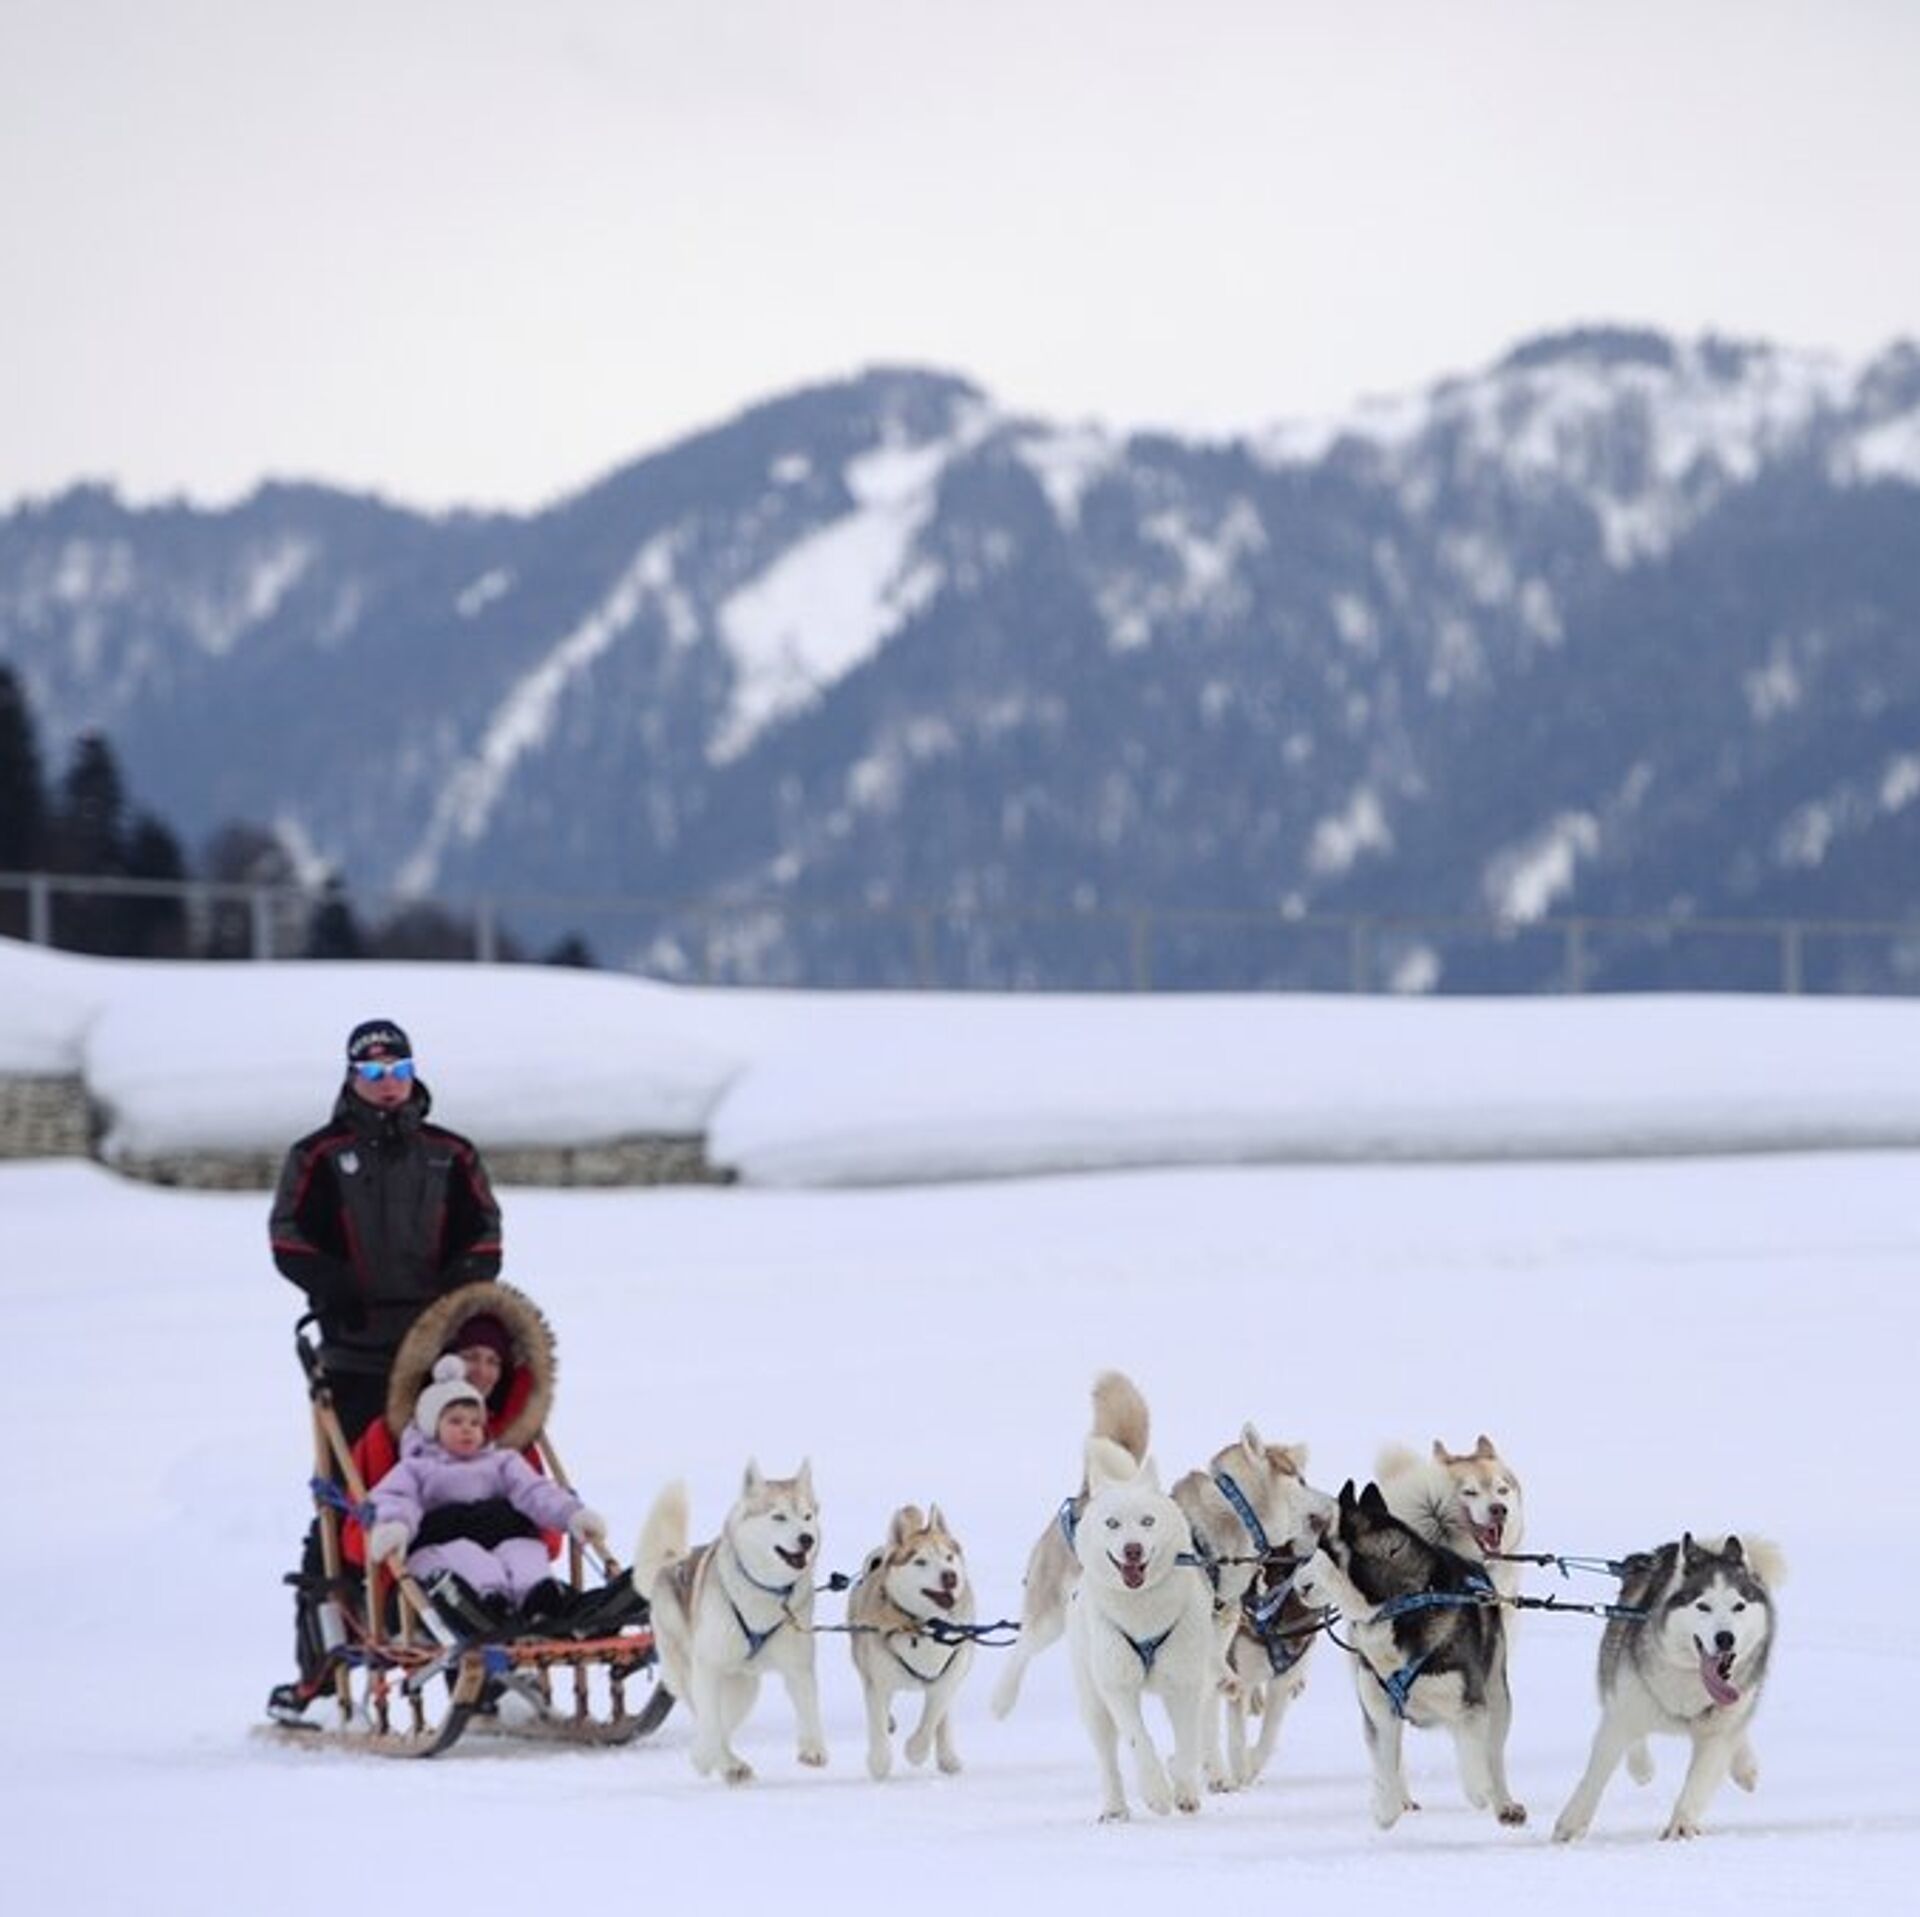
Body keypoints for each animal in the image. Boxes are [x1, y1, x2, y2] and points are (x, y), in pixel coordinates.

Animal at [634, 1459, 827, 1783]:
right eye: (778, 1516)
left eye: (807, 1516)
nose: (806, 1538)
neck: (765, 1592)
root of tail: (670, 1565)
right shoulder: (708, 1667)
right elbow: (710, 1726)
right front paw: (706, 1759)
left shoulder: (798, 1665)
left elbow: (810, 1706)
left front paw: (813, 1748)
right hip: (689, 1673)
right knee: (708, 1722)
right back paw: (722, 1761)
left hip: (743, 1689)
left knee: (724, 1723)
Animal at [847, 1502, 976, 1780]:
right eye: (920, 1561)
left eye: (948, 1557)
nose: (950, 1576)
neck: (926, 1626)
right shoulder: (877, 1678)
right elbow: (877, 1719)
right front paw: (879, 1762)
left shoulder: (951, 1670)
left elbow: (933, 1715)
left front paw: (915, 1750)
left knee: (942, 1718)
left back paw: (947, 1757)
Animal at [1067, 1435, 1215, 1822]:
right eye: (1112, 1523)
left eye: (1148, 1521)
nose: (1132, 1550)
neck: (1143, 1613)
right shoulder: (1118, 1687)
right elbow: (1138, 1739)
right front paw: (1157, 1793)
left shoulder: (1185, 1685)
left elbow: (1188, 1745)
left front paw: (1184, 1788)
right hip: (1094, 1703)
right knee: (1108, 1760)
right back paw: (1115, 1808)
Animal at [1294, 1479, 1526, 1830]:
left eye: (1323, 1551)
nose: (1297, 1584)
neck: (1400, 1603)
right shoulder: (1379, 1711)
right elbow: (1385, 1764)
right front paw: (1385, 1808)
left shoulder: (1469, 1704)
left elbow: (1474, 1756)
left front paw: (1479, 1790)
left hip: (1498, 1694)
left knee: (1493, 1753)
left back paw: (1503, 1803)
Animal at [1553, 1532, 1782, 1843]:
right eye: (1703, 1606)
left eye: (1739, 1606)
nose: (1725, 1638)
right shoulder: (1623, 1706)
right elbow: (1597, 1772)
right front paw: (1571, 1822)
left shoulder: (1717, 1731)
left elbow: (1699, 1782)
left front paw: (1682, 1826)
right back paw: (1642, 1768)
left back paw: (1745, 1768)